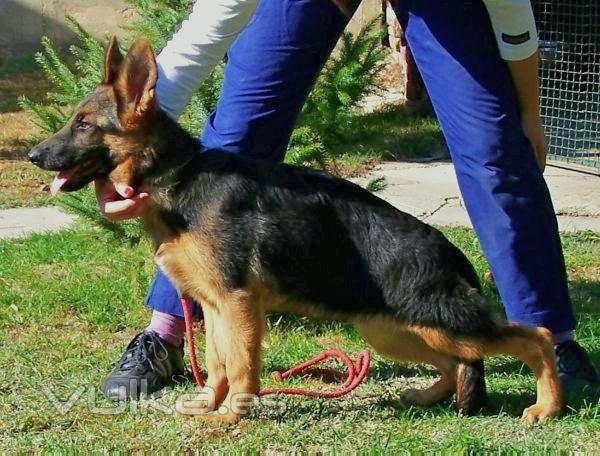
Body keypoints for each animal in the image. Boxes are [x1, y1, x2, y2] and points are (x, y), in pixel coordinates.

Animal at [29, 38, 564, 424]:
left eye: (83, 125)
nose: (33, 157)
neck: (177, 178)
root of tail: (453, 255)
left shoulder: (239, 305)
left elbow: (241, 367)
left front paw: (230, 418)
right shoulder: (215, 307)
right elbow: (218, 364)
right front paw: (209, 405)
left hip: (439, 319)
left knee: (534, 337)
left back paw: (546, 406)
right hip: (395, 331)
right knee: (457, 363)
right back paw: (430, 396)